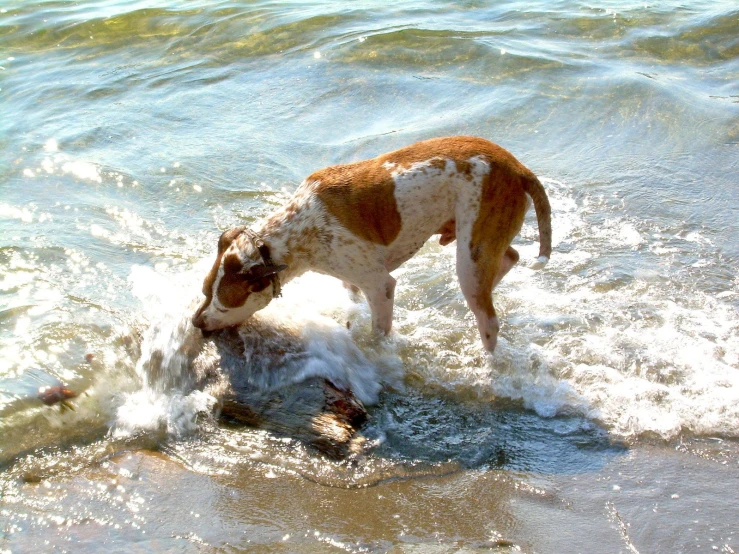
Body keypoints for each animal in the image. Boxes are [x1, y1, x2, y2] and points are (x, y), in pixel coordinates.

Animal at [194, 135, 552, 350]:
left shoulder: (379, 285)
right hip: (479, 244)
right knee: (508, 257)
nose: (196, 323)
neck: (295, 228)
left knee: (488, 320)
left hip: (469, 258)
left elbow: (379, 330)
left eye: (224, 306)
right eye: (203, 291)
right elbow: (351, 299)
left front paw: (375, 352)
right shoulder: (350, 278)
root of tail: (519, 168)